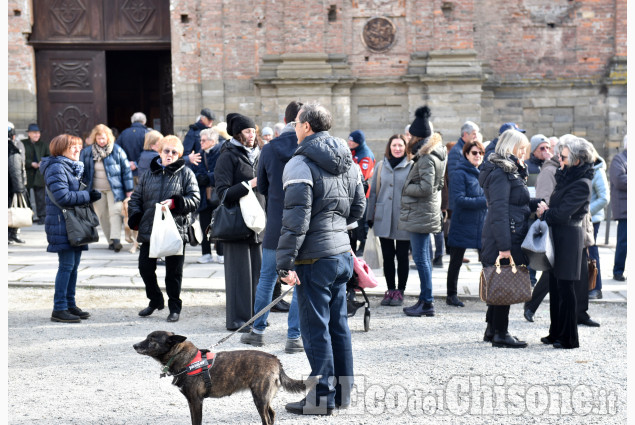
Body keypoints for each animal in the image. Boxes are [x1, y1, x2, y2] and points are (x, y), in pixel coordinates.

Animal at [134, 332, 306, 424]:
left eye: (151, 339)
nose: (134, 345)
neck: (185, 358)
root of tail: (275, 359)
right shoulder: (191, 402)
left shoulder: (196, 401)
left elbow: (197, 422)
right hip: (264, 398)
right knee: (272, 414)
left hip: (260, 398)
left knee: (267, 418)